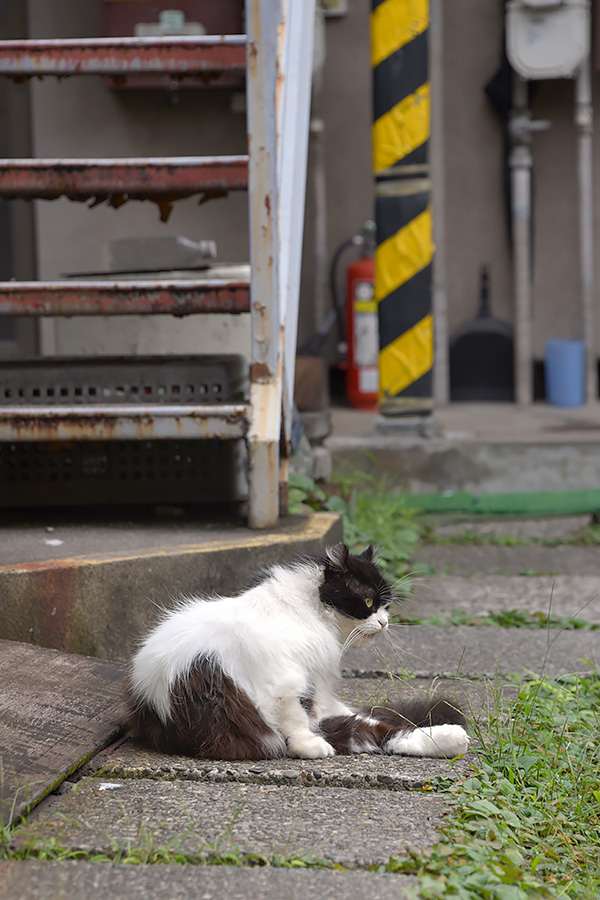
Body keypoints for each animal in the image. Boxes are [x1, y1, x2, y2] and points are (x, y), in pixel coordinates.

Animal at [125, 540, 468, 760]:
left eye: (386, 605)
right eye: (369, 601)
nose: (384, 623)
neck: (311, 612)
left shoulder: (315, 687)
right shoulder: (284, 681)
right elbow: (295, 720)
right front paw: (309, 747)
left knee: (377, 727)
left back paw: (452, 737)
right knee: (373, 730)